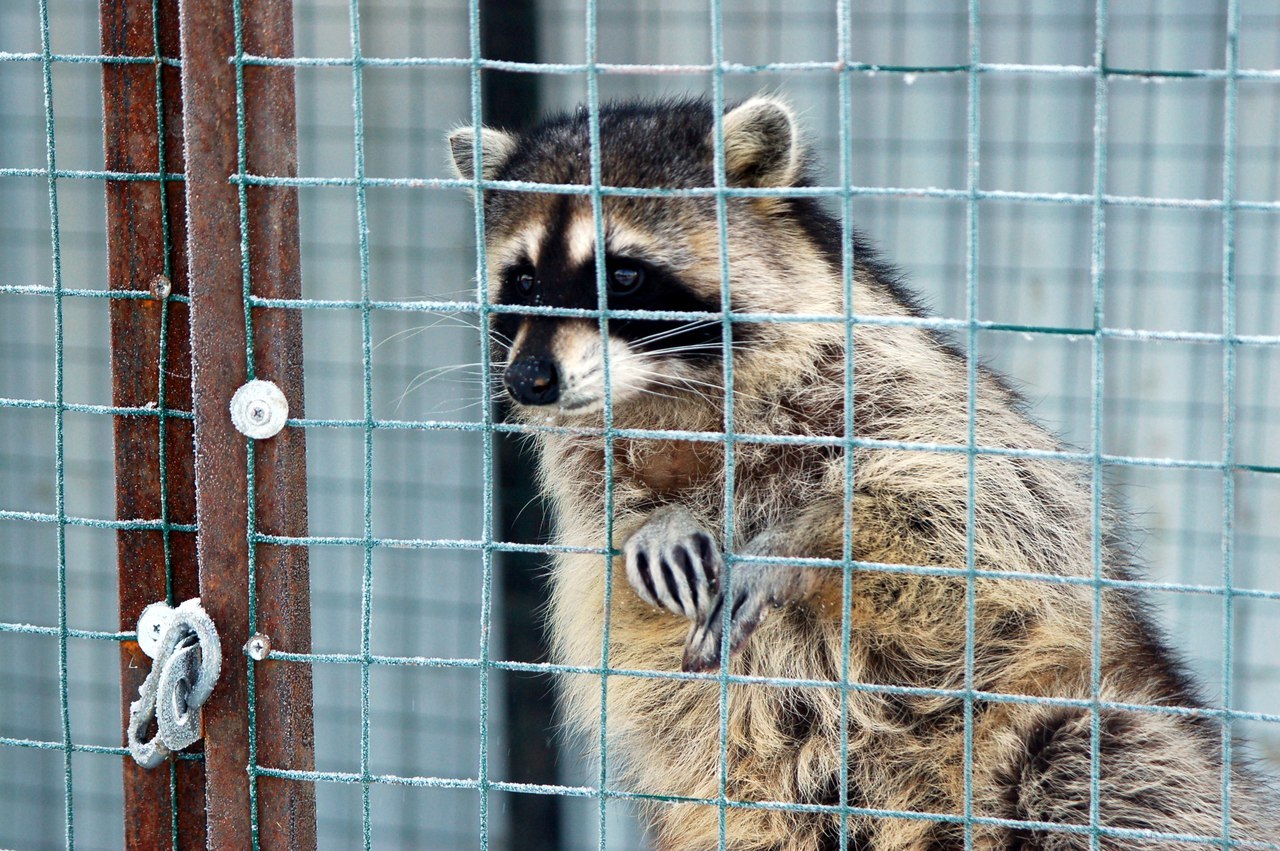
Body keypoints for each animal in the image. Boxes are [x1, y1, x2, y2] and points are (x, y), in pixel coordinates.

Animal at [445, 97, 1274, 849]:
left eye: (622, 275)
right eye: (522, 281)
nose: (528, 380)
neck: (666, 389)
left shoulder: (893, 378)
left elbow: (976, 497)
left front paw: (806, 535)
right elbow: (599, 523)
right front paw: (649, 516)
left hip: (1077, 719)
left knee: (1100, 765)